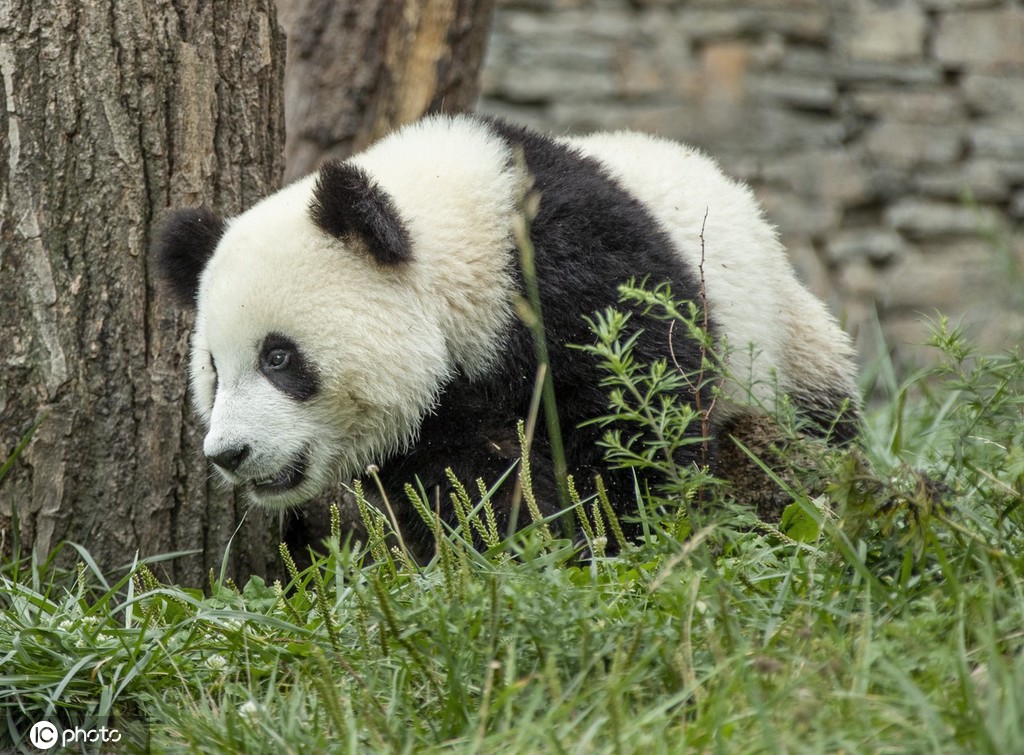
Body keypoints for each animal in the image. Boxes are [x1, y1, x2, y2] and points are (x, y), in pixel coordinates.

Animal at [151, 114, 856, 544]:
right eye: (213, 371)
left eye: (278, 357)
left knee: (824, 418)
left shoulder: (578, 270)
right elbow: (462, 479)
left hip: (788, 339)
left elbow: (635, 414)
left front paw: (607, 531)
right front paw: (507, 537)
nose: (230, 453)